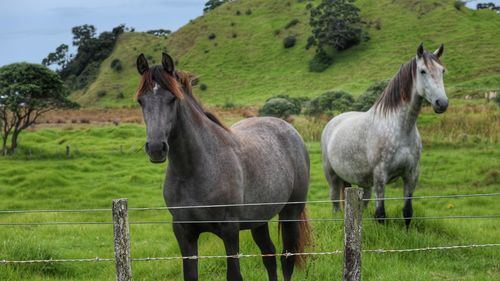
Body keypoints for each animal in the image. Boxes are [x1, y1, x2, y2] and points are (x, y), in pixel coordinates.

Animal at [135, 53, 310, 280]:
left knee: (286, 260)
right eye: (140, 100)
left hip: (290, 213)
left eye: (172, 98)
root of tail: (290, 129)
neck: (195, 170)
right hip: (259, 220)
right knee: (269, 256)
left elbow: (234, 275)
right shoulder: (184, 232)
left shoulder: (229, 230)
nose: (156, 148)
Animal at [320, 44, 450, 228]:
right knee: (334, 202)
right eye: (423, 71)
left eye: (442, 70)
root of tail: (333, 122)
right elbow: (381, 215)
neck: (401, 129)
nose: (442, 103)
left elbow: (407, 212)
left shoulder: (411, 175)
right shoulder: (380, 176)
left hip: (362, 181)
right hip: (331, 175)